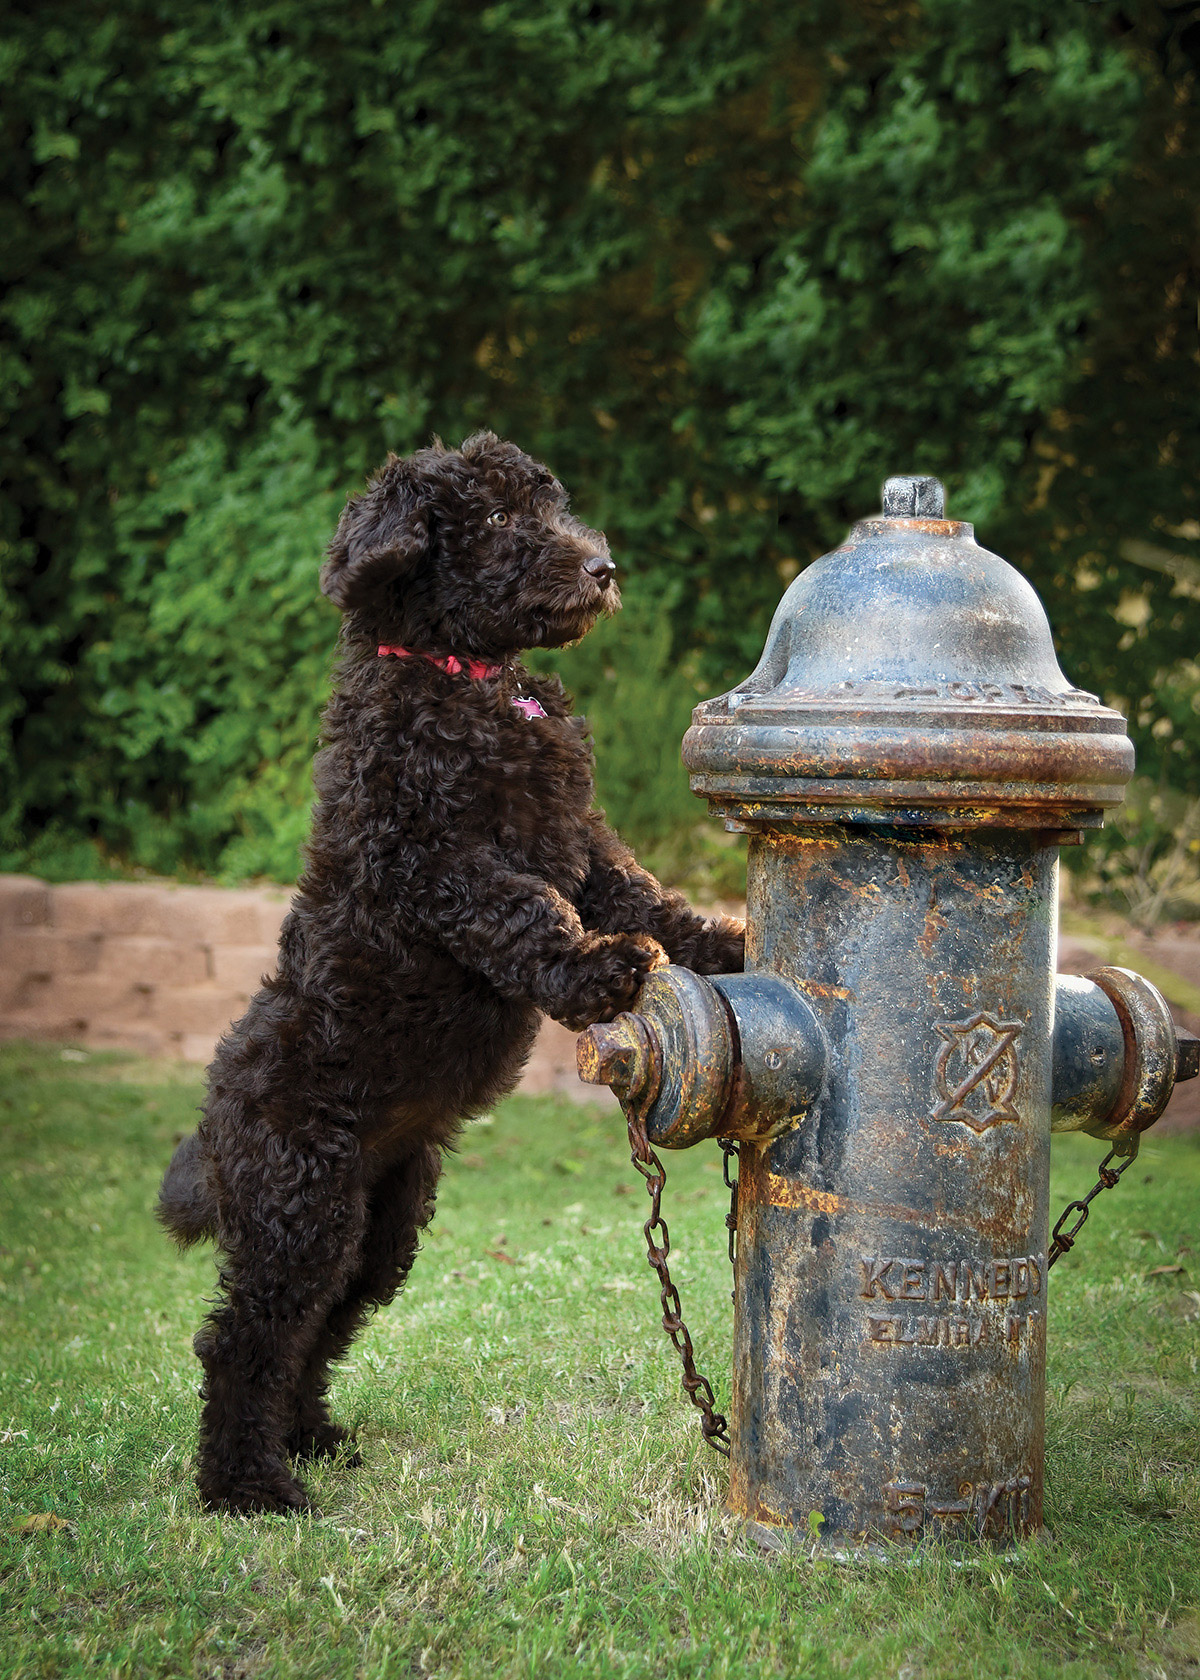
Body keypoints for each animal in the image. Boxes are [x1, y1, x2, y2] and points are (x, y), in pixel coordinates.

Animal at [158, 433, 739, 1512]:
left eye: (546, 507)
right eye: (502, 521)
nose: (603, 569)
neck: (470, 677)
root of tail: (217, 1120)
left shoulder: (581, 843)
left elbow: (649, 898)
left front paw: (727, 943)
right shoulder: (430, 854)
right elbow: (523, 912)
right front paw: (592, 973)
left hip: (377, 1226)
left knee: (318, 1328)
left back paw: (311, 1439)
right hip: (298, 1206)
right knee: (244, 1339)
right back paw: (249, 1486)